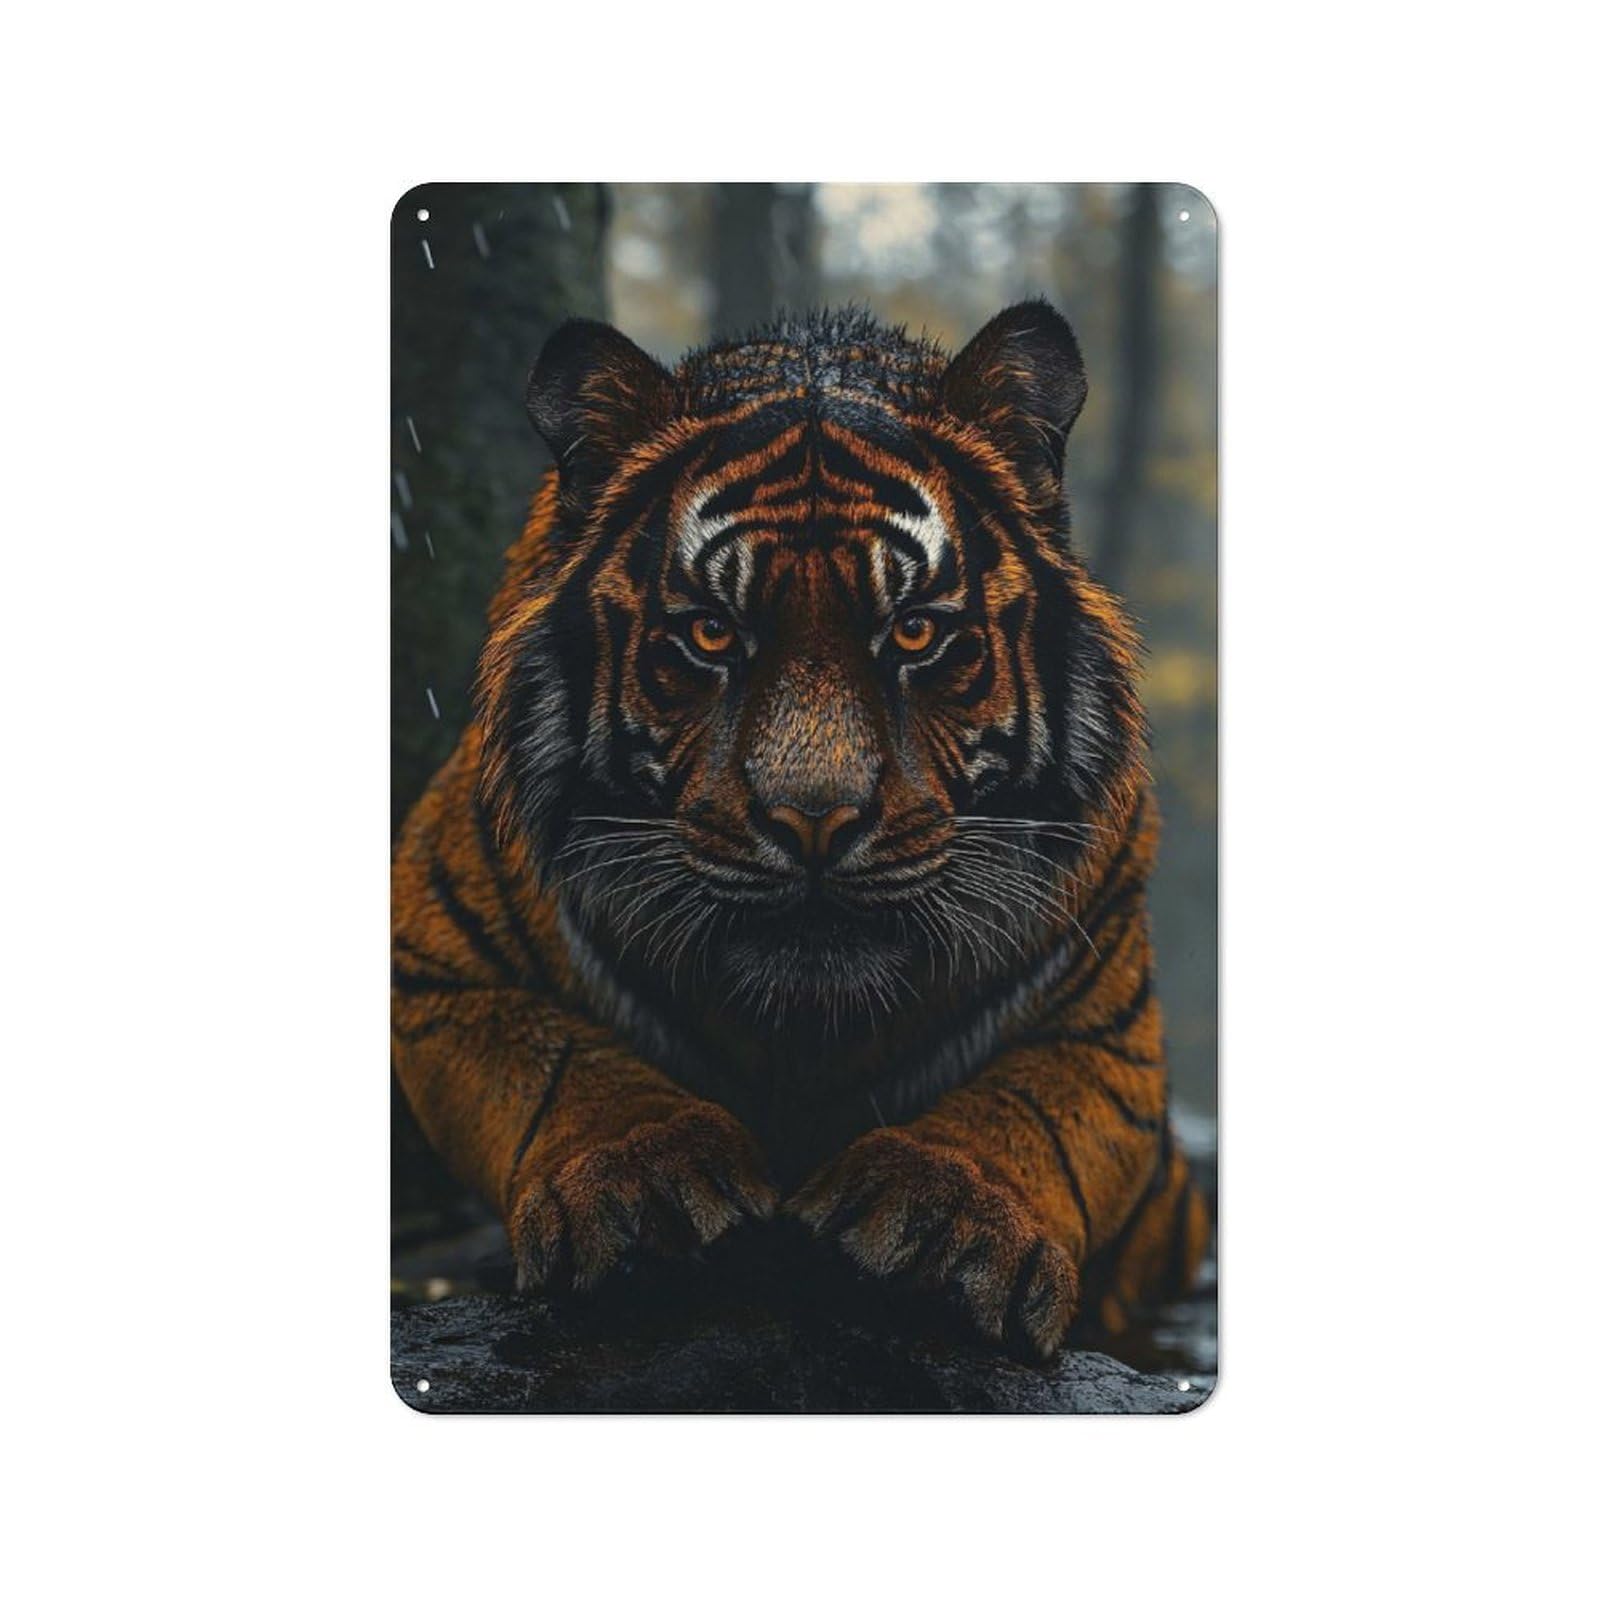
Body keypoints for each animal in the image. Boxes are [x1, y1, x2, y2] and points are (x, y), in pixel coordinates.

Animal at [391, 301, 1210, 1360]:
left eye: (914, 632)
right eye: (709, 633)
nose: (813, 819)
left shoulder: (1108, 1031)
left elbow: (1024, 1108)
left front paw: (943, 1221)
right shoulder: (442, 968)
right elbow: (561, 1067)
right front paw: (641, 1183)